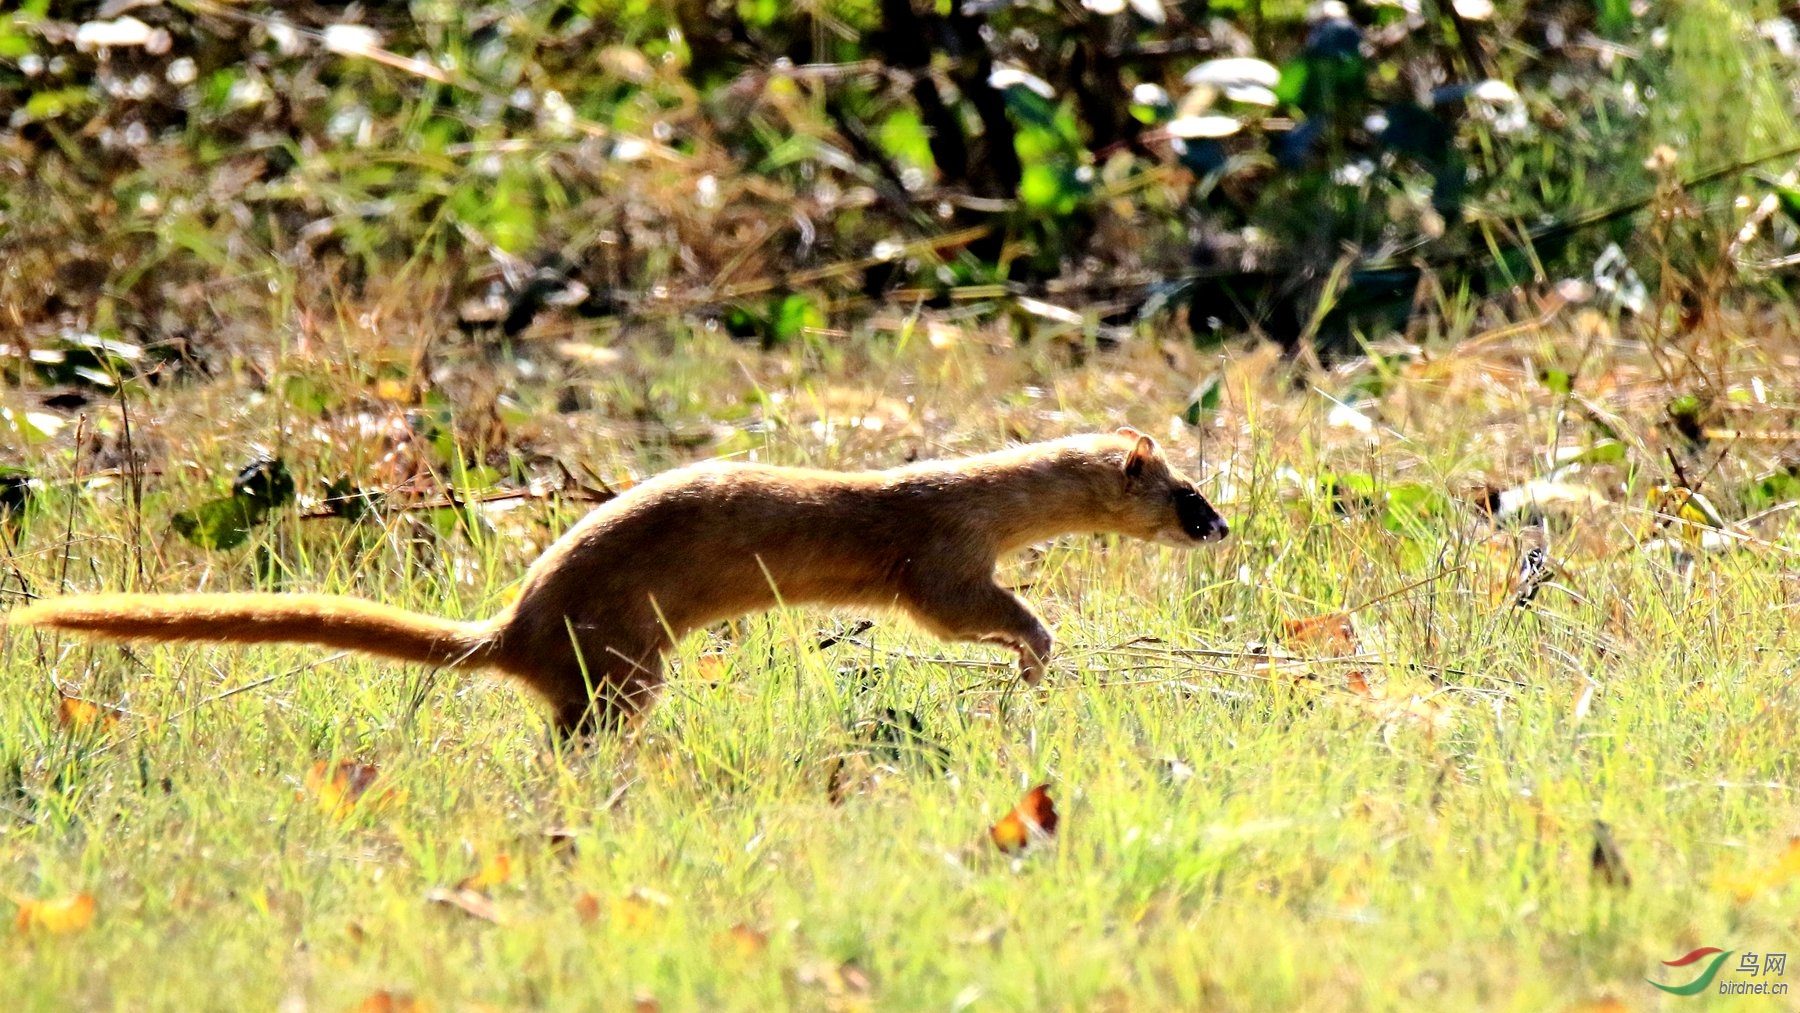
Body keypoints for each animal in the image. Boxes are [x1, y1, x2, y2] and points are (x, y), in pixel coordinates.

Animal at [7, 430, 1224, 737]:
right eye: (1187, 493)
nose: (1222, 526)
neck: (978, 492)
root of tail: (515, 622)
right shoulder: (935, 556)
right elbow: (969, 610)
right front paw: (1037, 651)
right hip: (628, 650)